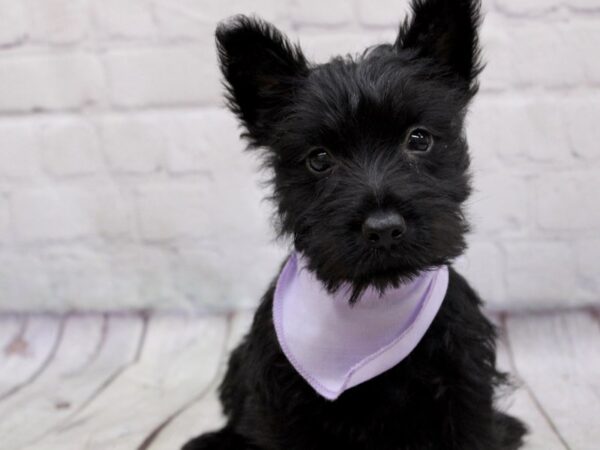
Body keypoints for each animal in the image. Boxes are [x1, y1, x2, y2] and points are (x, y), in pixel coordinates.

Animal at [183, 0, 524, 450]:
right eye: (319, 158)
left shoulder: (464, 385)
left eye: (418, 139)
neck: (374, 304)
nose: (383, 228)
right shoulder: (280, 402)